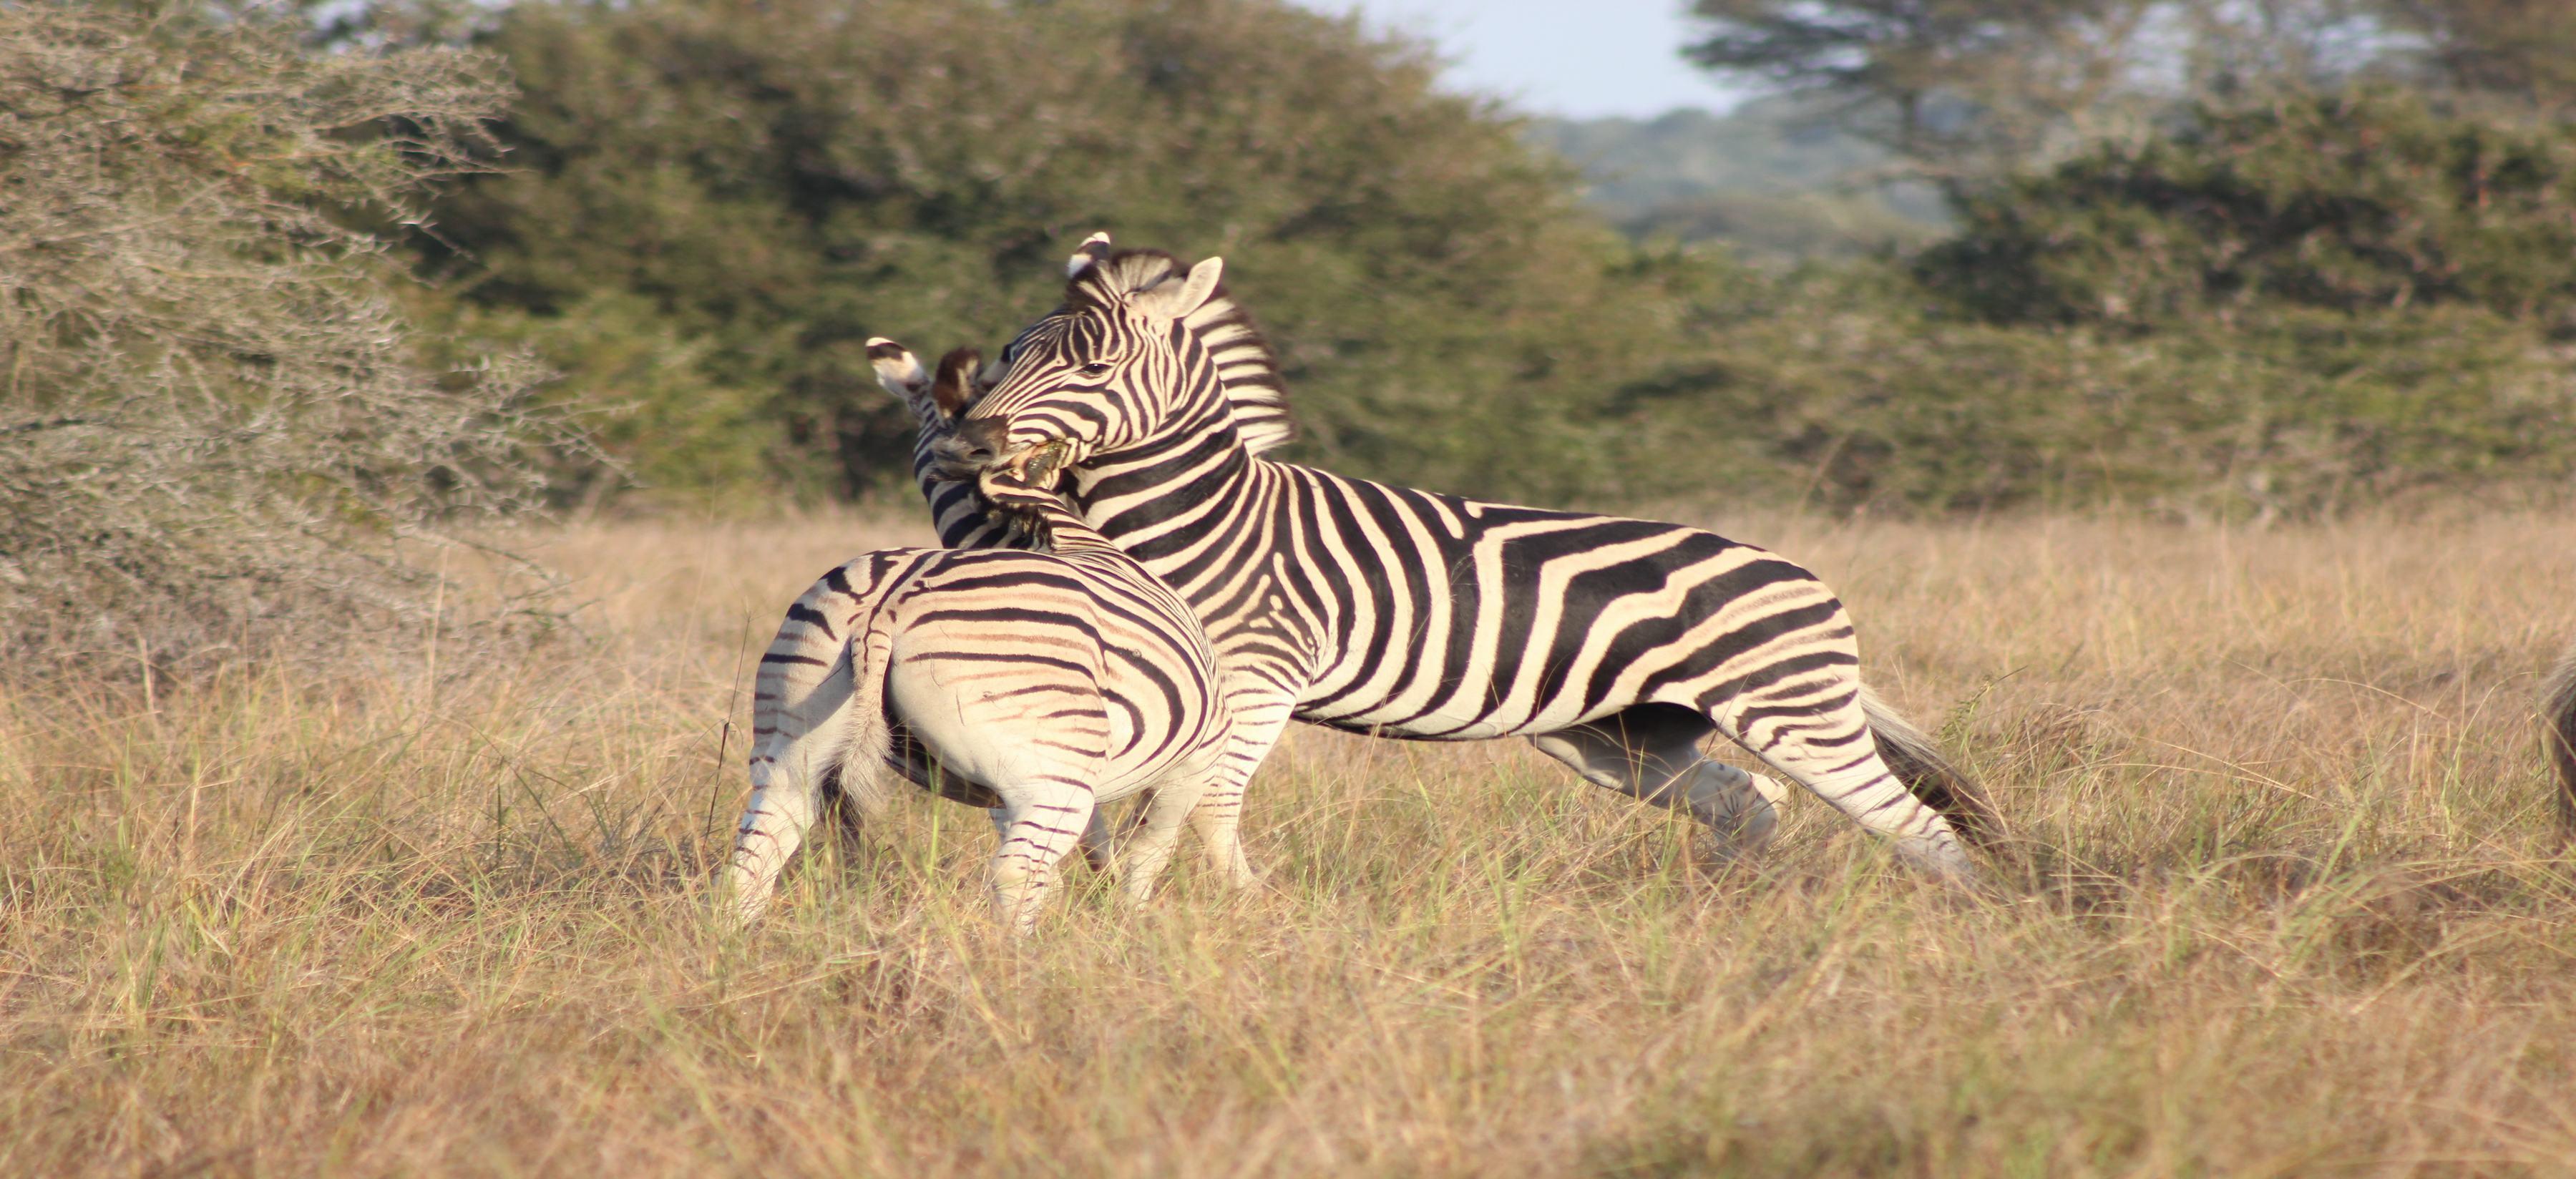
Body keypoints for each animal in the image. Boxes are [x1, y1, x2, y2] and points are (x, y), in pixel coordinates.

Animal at [721, 339, 1252, 931]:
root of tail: (886, 606)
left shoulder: (1014, 787)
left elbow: (1094, 850)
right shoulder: (1198, 754)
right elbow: (1150, 850)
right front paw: (1128, 922)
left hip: (793, 729)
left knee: (755, 856)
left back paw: (737, 943)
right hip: (1049, 771)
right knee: (1017, 874)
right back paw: (1022, 954)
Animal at [937, 242, 1999, 885]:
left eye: (1093, 369)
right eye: (1011, 351)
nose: (973, 437)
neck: (1205, 515)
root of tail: (1810, 580)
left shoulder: (1259, 682)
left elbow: (1199, 808)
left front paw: (1201, 912)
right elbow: (1159, 800)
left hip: (1790, 714)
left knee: (1919, 830)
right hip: (1621, 738)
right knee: (1748, 804)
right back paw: (1737, 910)